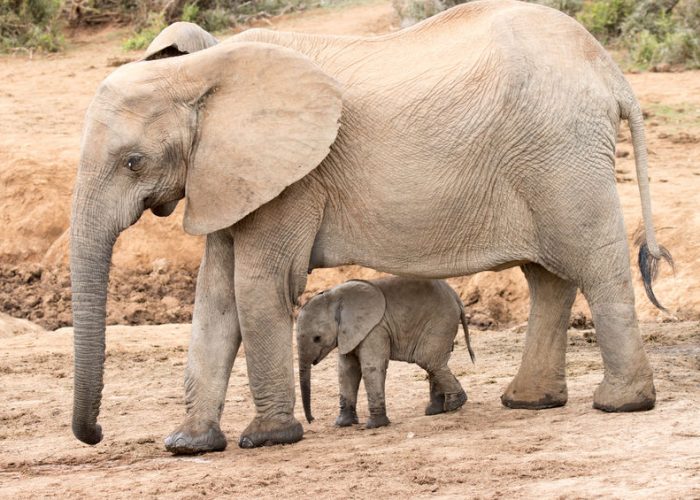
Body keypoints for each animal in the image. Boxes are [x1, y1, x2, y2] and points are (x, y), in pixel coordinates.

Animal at [296, 278, 476, 430]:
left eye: (317, 338)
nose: (312, 420)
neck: (335, 297)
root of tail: (456, 297)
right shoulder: (348, 334)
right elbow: (346, 371)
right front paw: (342, 424)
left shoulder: (375, 329)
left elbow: (371, 368)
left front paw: (374, 426)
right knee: (433, 362)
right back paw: (435, 411)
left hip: (441, 321)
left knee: (428, 360)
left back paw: (454, 405)